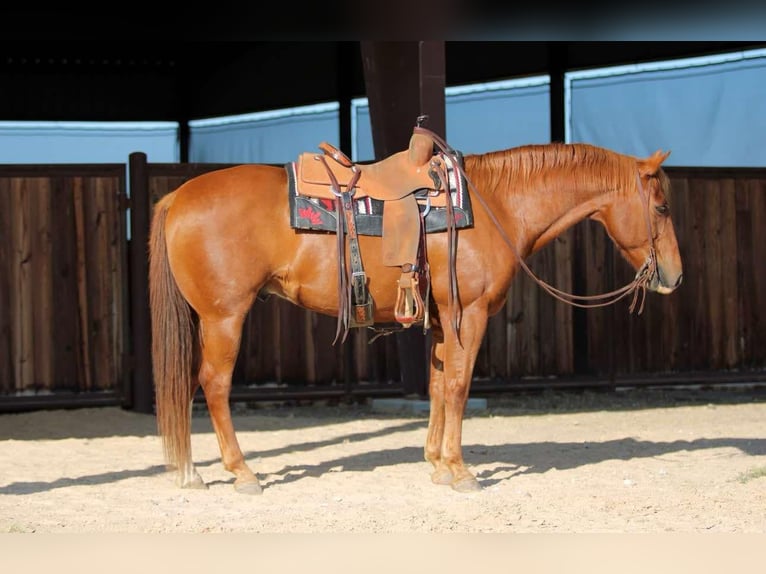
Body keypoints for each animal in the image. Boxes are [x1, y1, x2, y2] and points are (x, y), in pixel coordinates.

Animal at [148, 134, 684, 496]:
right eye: (661, 208)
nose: (675, 276)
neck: (495, 206)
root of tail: (178, 196)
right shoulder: (470, 313)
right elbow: (459, 386)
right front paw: (460, 470)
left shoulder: (443, 319)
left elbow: (437, 385)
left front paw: (437, 463)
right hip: (224, 317)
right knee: (213, 384)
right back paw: (241, 472)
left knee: (190, 383)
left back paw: (191, 472)